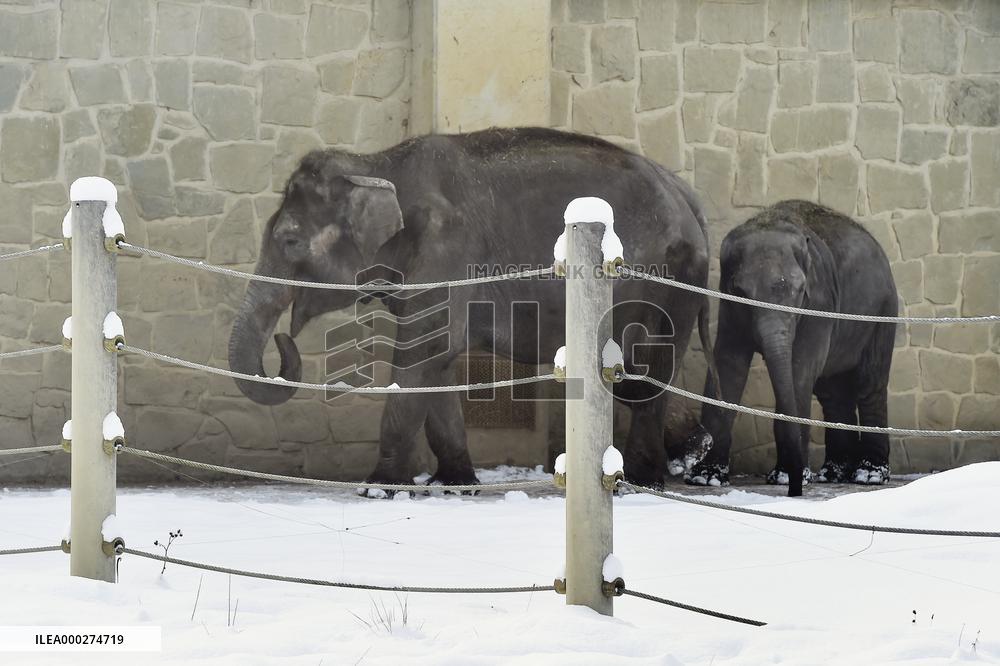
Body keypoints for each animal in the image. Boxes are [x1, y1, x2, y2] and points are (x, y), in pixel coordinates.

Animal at [228, 127, 715, 490]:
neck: (376, 164)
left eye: (290, 241)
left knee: (646, 373)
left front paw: (378, 487)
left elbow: (421, 353)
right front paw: (455, 483)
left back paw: (647, 480)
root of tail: (688, 197)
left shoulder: (447, 250)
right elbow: (436, 364)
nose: (282, 338)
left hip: (667, 284)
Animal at [684, 200, 897, 497]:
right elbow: (729, 365)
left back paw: (870, 475)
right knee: (831, 392)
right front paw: (706, 478)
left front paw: (785, 477)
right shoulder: (729, 306)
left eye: (799, 291)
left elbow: (799, 370)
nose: (795, 488)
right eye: (740, 291)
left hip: (882, 313)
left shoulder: (819, 303)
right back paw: (833, 474)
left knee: (869, 384)